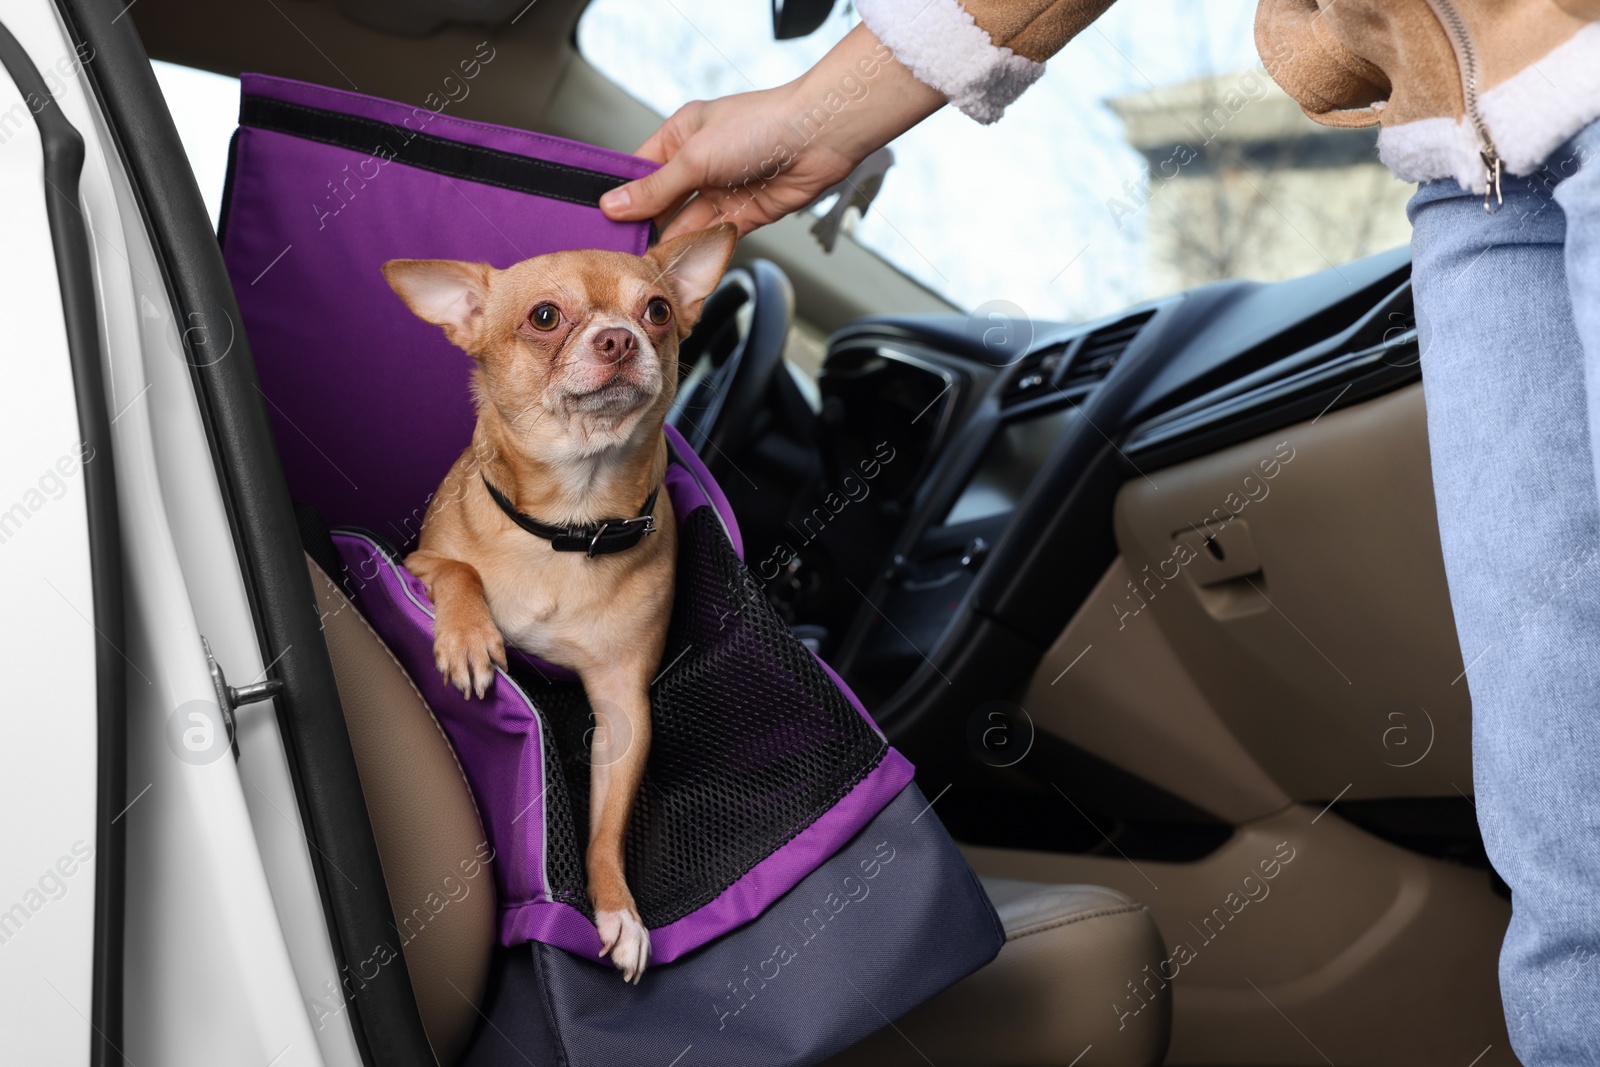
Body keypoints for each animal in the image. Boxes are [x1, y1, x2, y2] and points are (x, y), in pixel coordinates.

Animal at [384, 223, 739, 985]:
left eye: (658, 311)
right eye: (545, 316)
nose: (619, 339)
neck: (572, 523)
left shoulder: (623, 714)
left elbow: (606, 831)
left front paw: (618, 908)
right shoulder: (415, 562)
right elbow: (459, 569)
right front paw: (469, 640)